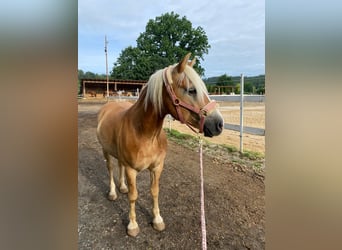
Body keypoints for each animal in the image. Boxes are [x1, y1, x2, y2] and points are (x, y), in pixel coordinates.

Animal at [96, 52, 224, 236]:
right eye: (191, 90)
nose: (219, 124)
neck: (145, 134)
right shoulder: (131, 170)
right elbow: (133, 196)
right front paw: (132, 225)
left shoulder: (157, 167)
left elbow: (155, 192)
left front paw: (157, 220)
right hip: (105, 151)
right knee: (111, 169)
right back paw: (113, 192)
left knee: (118, 167)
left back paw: (122, 187)